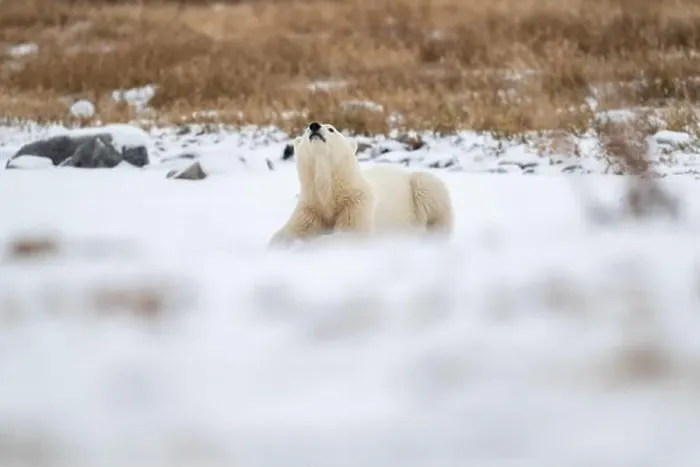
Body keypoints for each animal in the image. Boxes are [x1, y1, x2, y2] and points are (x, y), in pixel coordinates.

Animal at [268, 121, 454, 247]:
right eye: (306, 129)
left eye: (331, 129)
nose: (314, 126)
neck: (330, 191)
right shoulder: (311, 208)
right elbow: (291, 231)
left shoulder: (356, 201)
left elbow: (351, 232)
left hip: (418, 187)